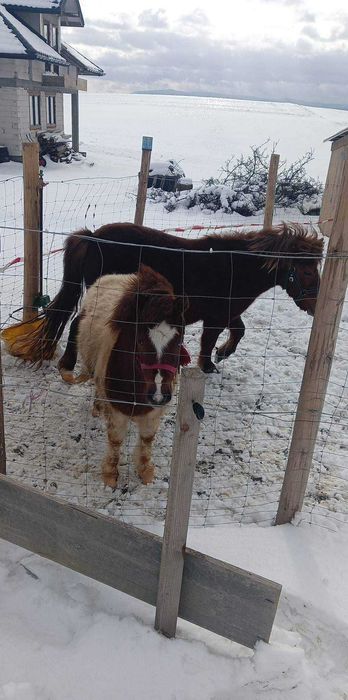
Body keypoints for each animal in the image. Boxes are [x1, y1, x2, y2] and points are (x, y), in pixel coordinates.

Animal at [6, 221, 324, 374]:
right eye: (308, 271)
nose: (315, 307)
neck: (233, 268)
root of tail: (93, 237)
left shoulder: (227, 313)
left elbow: (239, 331)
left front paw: (223, 353)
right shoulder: (215, 317)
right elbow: (207, 343)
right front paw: (208, 366)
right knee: (75, 325)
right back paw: (68, 364)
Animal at [67, 266, 189, 490]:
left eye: (178, 341)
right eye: (139, 340)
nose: (159, 395)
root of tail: (113, 276)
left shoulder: (153, 413)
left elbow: (147, 438)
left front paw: (145, 472)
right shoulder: (116, 410)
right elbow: (115, 440)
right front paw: (110, 476)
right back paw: (97, 408)